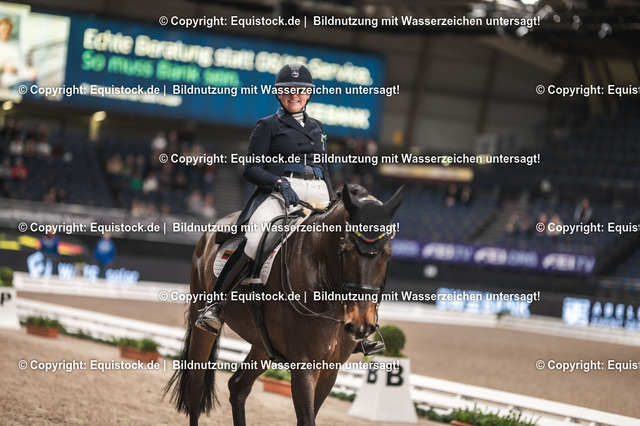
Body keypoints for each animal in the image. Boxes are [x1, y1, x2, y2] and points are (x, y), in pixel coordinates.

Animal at [164, 183, 404, 426]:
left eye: (388, 255)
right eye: (346, 251)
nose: (360, 325)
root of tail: (214, 229)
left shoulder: (330, 370)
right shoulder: (304, 366)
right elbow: (307, 418)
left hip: (263, 345)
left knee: (238, 386)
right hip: (202, 325)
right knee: (196, 388)